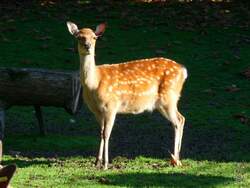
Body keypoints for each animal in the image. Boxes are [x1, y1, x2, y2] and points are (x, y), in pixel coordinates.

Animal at [66, 21, 188, 170]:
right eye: (79, 37)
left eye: (94, 37)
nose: (87, 46)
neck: (94, 84)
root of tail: (184, 71)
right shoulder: (96, 111)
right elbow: (101, 132)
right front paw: (97, 162)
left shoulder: (111, 106)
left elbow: (107, 134)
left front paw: (105, 164)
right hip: (167, 101)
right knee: (182, 118)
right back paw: (176, 159)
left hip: (168, 98)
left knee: (178, 121)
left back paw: (176, 160)